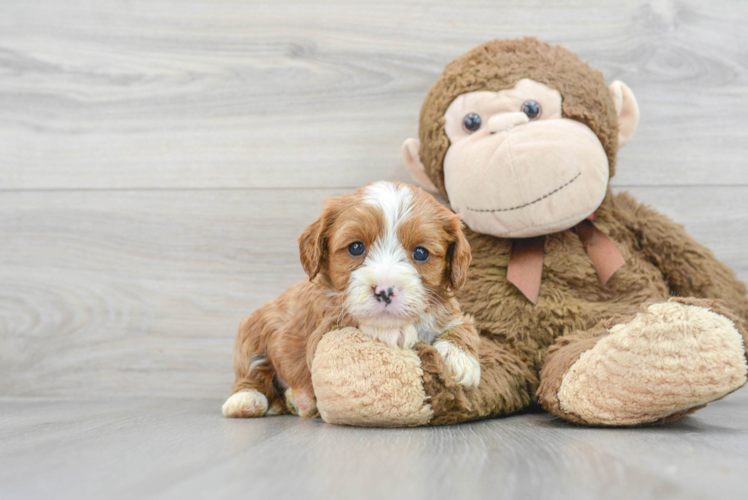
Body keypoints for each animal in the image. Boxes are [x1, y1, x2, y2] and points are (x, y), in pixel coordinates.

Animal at [222, 181, 480, 418]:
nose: (384, 291)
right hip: (251, 333)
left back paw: (298, 401)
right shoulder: (321, 333)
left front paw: (460, 358)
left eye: (421, 253)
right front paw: (392, 331)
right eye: (356, 248)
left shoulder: (448, 309)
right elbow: (351, 320)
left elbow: (464, 325)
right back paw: (246, 400)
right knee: (251, 373)